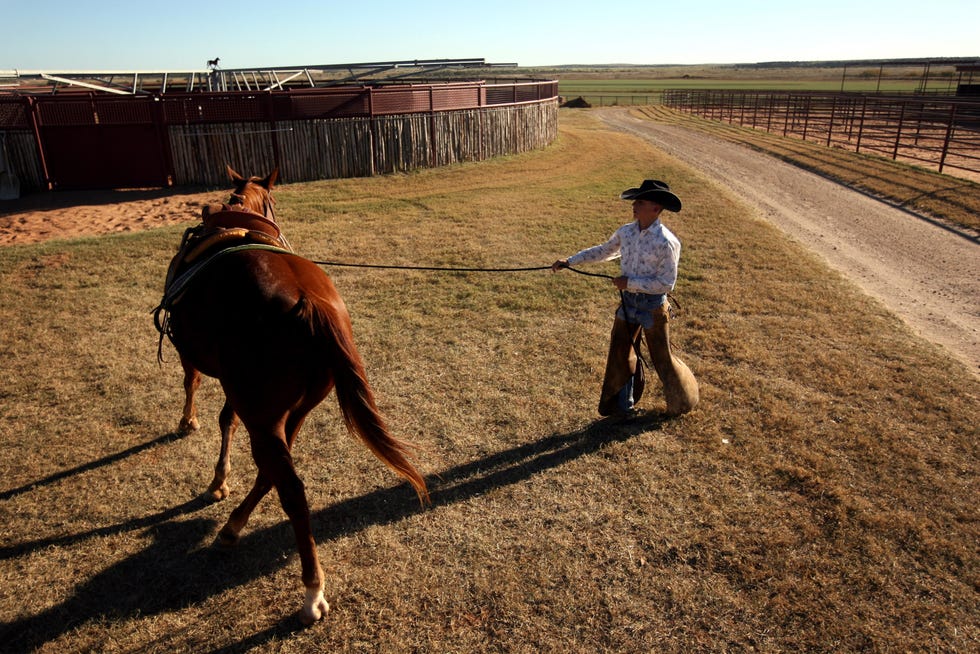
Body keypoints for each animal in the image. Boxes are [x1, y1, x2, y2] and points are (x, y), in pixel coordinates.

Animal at [156, 168, 424, 624]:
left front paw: (190, 430)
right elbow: (226, 419)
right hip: (292, 411)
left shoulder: (193, 354)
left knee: (292, 490)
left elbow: (194, 387)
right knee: (272, 473)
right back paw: (232, 528)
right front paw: (219, 479)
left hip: (263, 415)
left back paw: (312, 592)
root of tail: (313, 303)